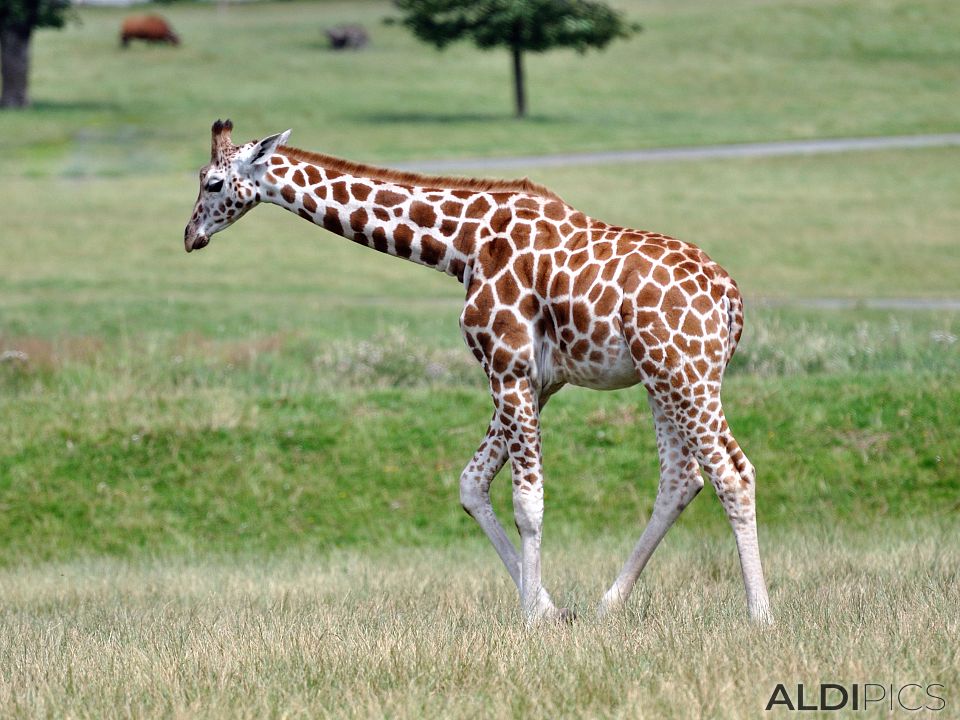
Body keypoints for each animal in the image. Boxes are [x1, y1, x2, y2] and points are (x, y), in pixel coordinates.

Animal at [186, 121, 772, 620]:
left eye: (212, 182)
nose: (191, 236)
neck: (461, 245)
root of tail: (731, 299)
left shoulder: (506, 365)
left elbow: (527, 501)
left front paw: (530, 619)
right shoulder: (538, 378)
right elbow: (472, 484)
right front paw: (549, 609)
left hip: (686, 372)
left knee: (732, 473)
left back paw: (760, 614)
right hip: (663, 378)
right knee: (681, 479)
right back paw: (608, 606)